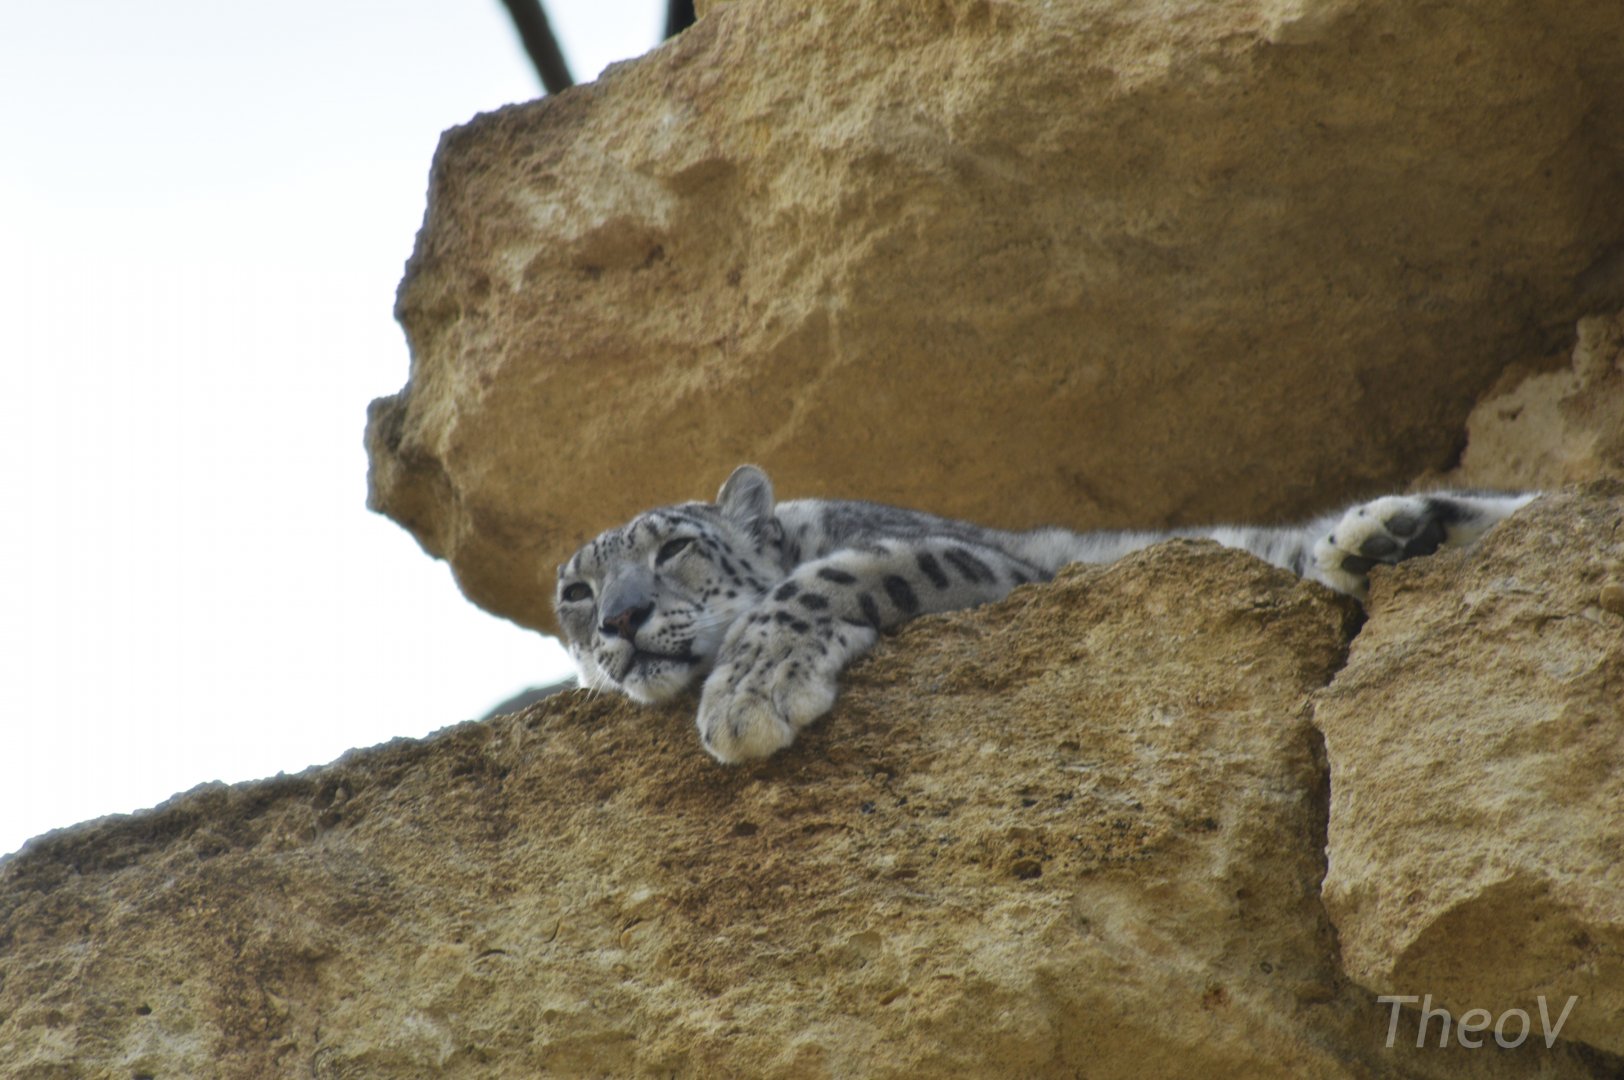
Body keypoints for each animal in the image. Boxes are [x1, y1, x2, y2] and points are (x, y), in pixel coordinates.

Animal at [554, 465, 1536, 763]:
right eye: (574, 591)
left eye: (673, 548)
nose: (621, 620)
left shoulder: (990, 561)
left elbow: (826, 579)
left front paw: (747, 696)